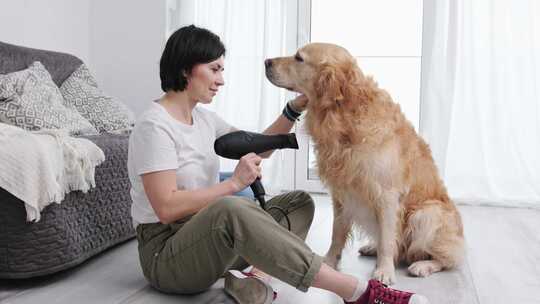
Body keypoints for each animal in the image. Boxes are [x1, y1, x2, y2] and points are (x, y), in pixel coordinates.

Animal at [266, 43, 464, 284]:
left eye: (299, 58)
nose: (266, 62)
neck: (343, 116)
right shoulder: (341, 194)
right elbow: (337, 232)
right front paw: (329, 261)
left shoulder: (387, 195)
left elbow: (388, 239)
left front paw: (384, 271)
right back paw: (372, 247)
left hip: (427, 213)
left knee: (447, 258)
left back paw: (423, 265)